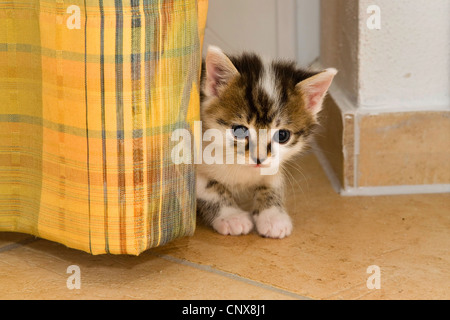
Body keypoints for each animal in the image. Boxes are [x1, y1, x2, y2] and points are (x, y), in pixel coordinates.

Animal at [195, 46, 336, 239]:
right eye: (240, 131)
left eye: (282, 135)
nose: (259, 159)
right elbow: (209, 187)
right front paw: (231, 217)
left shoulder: (274, 163)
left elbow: (272, 182)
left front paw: (272, 216)